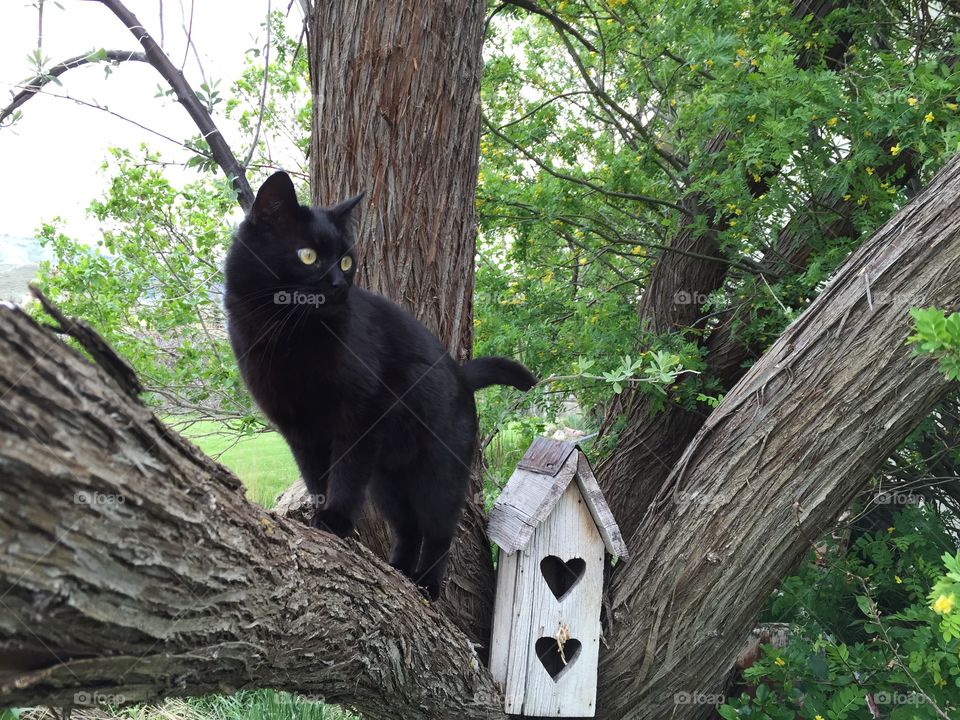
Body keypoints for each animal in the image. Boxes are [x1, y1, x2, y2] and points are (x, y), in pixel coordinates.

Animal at [227, 173, 540, 596]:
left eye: (346, 260)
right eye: (307, 256)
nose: (339, 283)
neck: (287, 336)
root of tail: (461, 373)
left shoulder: (360, 416)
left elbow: (343, 475)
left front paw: (336, 519)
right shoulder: (299, 430)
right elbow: (316, 476)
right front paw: (323, 514)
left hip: (437, 473)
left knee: (439, 532)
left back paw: (428, 585)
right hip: (386, 480)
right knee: (408, 528)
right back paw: (400, 570)